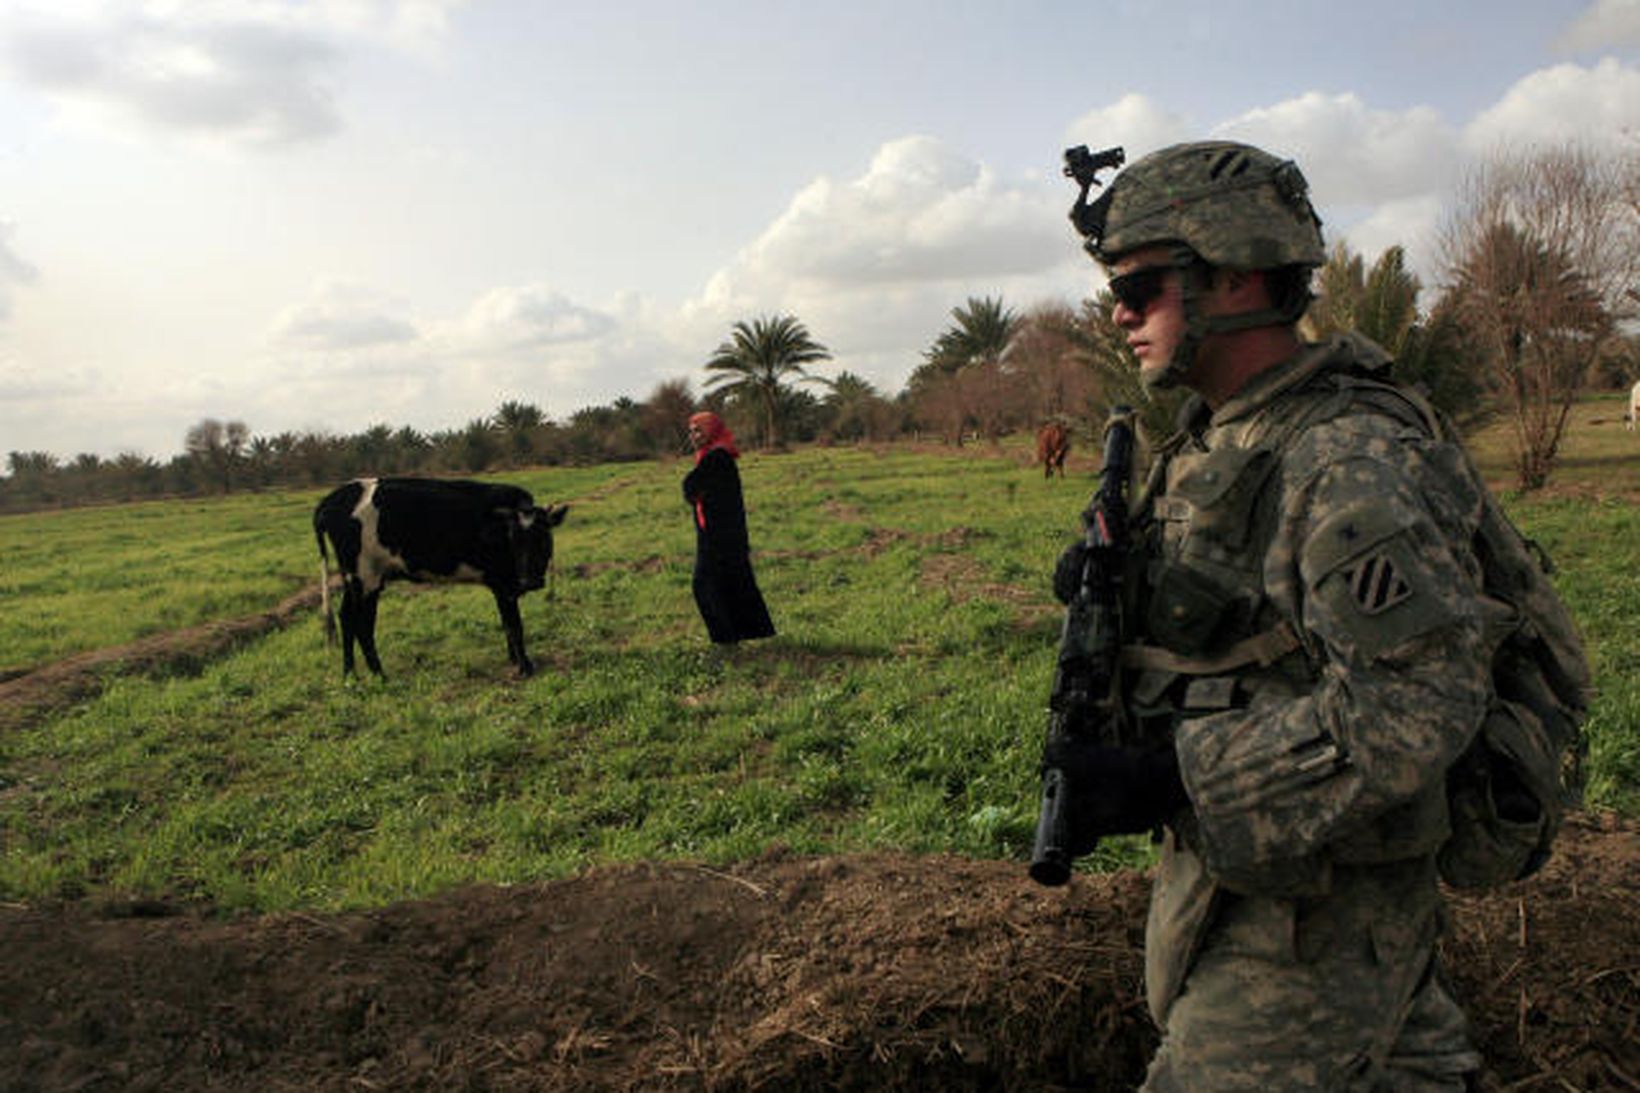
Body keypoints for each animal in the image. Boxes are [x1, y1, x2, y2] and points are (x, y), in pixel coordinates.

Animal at [313, 475, 570, 672]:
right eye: (514, 540)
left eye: (544, 537)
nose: (531, 581)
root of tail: (333, 497)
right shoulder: (503, 584)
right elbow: (514, 626)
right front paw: (525, 666)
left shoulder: (502, 586)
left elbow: (507, 624)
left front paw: (514, 660)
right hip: (365, 577)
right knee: (360, 623)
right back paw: (377, 674)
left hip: (361, 579)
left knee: (348, 619)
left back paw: (351, 675)